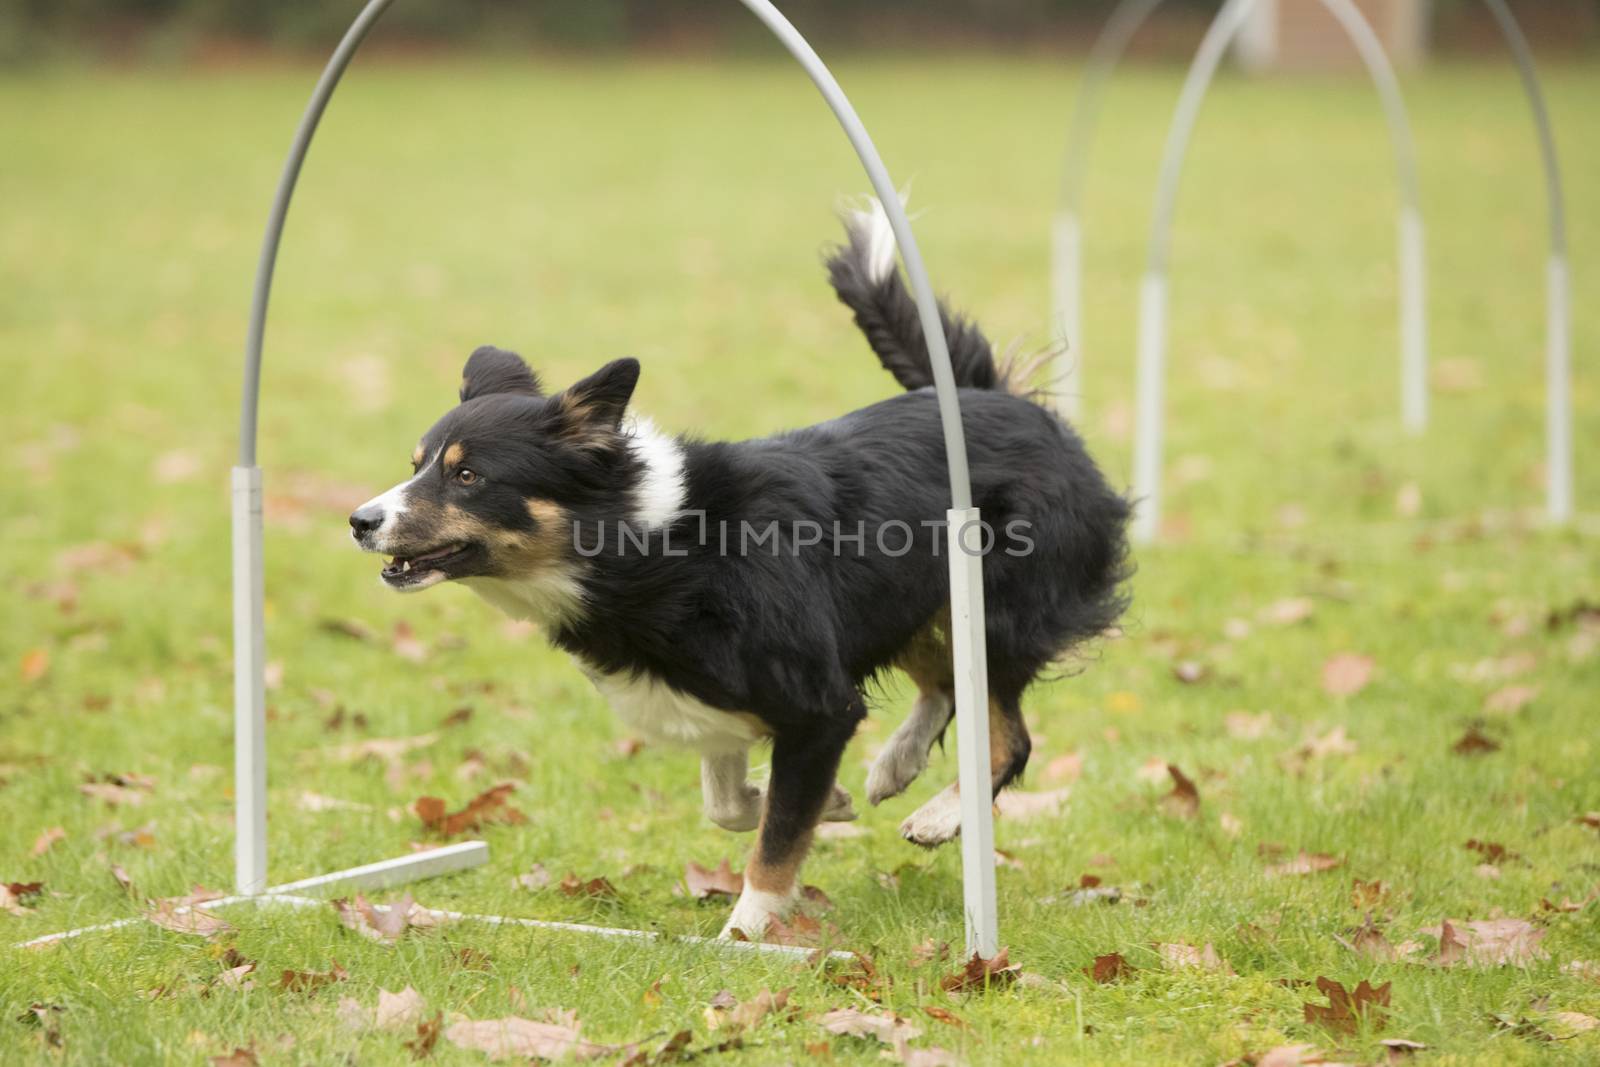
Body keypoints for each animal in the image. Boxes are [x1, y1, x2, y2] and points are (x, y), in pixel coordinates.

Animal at [350, 204, 1126, 940]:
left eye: (469, 476)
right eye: (416, 463)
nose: (359, 519)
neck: (657, 541)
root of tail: (1004, 400)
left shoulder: (817, 703)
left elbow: (777, 834)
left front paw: (748, 928)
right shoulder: (715, 694)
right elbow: (729, 804)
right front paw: (829, 801)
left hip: (996, 607)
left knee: (1009, 734)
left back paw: (940, 815)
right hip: (906, 596)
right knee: (943, 682)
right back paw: (895, 764)